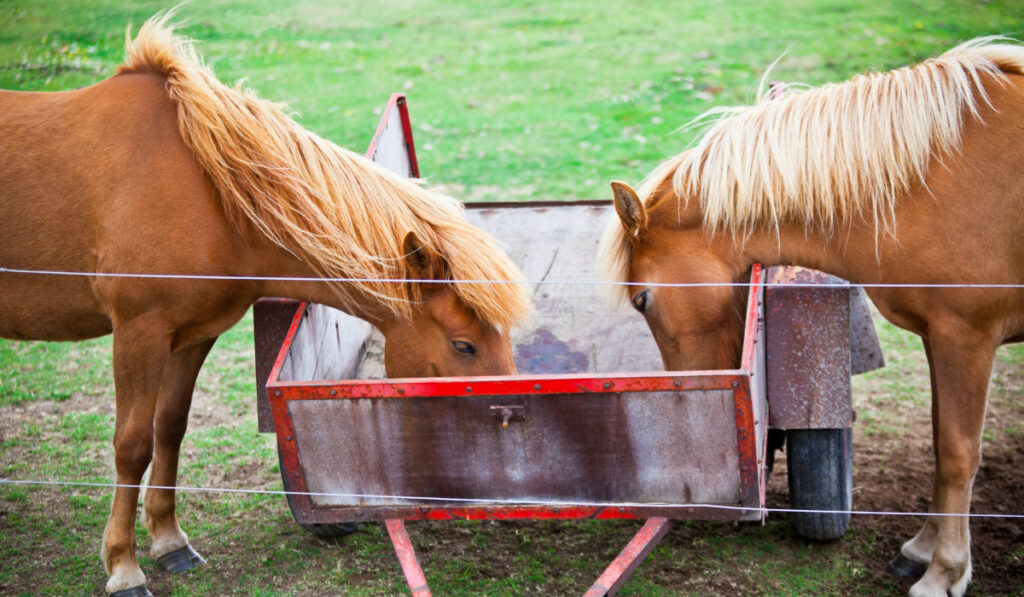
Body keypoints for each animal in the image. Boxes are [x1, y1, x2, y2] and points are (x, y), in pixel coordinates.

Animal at [0, 14, 532, 597]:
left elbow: (170, 429)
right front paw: (123, 566)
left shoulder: (193, 334)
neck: (211, 193)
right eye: (464, 345)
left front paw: (170, 542)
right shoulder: (139, 332)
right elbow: (132, 445)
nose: (507, 420)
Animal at [598, 39, 1024, 593]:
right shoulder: (939, 337)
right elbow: (939, 441)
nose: (684, 396)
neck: (925, 181)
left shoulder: (967, 337)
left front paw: (944, 571)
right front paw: (921, 549)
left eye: (642, 300)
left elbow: (957, 453)